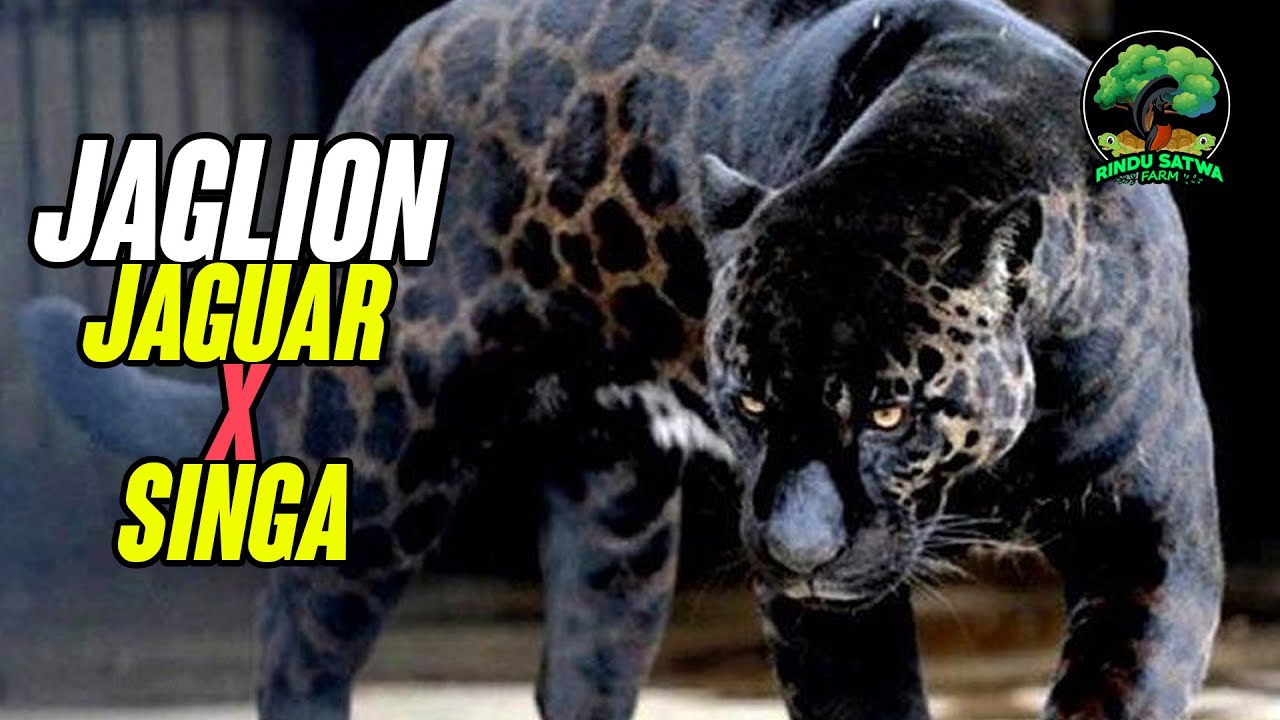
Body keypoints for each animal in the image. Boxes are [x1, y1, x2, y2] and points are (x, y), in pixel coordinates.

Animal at [21, 0, 1223, 718]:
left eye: (889, 411)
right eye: (747, 400)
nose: (792, 548)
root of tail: (392, 57)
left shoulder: (1152, 535)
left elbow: (1112, 691)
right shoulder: (825, 608)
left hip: (618, 528)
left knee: (579, 671)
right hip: (378, 462)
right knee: (296, 643)